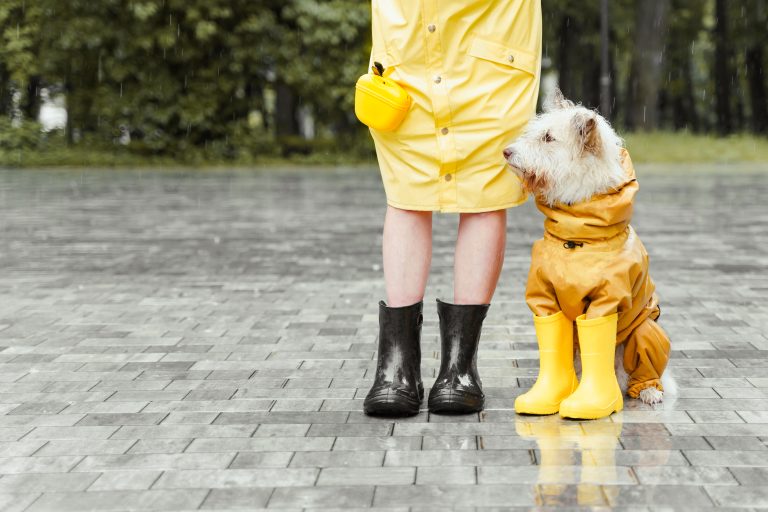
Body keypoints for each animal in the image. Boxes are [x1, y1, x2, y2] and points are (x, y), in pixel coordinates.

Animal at [504, 91, 672, 404]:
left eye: (548, 137)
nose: (506, 152)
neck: (578, 234)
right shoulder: (544, 296)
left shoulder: (607, 300)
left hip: (645, 329)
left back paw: (646, 389)